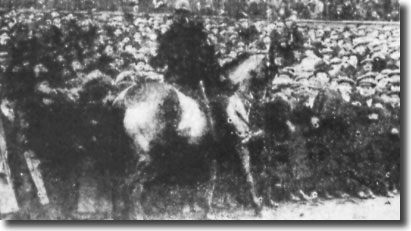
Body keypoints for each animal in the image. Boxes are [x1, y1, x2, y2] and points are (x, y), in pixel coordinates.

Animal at [114, 53, 272, 219]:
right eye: (266, 68)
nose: (264, 96)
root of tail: (127, 98)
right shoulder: (240, 144)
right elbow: (248, 175)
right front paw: (258, 207)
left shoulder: (213, 152)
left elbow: (212, 181)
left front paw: (206, 211)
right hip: (147, 158)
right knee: (131, 186)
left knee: (126, 187)